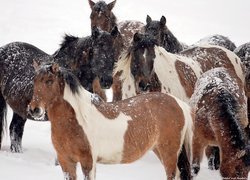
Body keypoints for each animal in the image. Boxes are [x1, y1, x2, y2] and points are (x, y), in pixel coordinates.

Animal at [28, 63, 193, 180]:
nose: (34, 109)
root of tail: (179, 104)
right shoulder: (66, 162)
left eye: (49, 81)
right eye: (34, 81)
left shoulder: (88, 162)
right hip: (159, 149)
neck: (77, 120)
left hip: (169, 152)